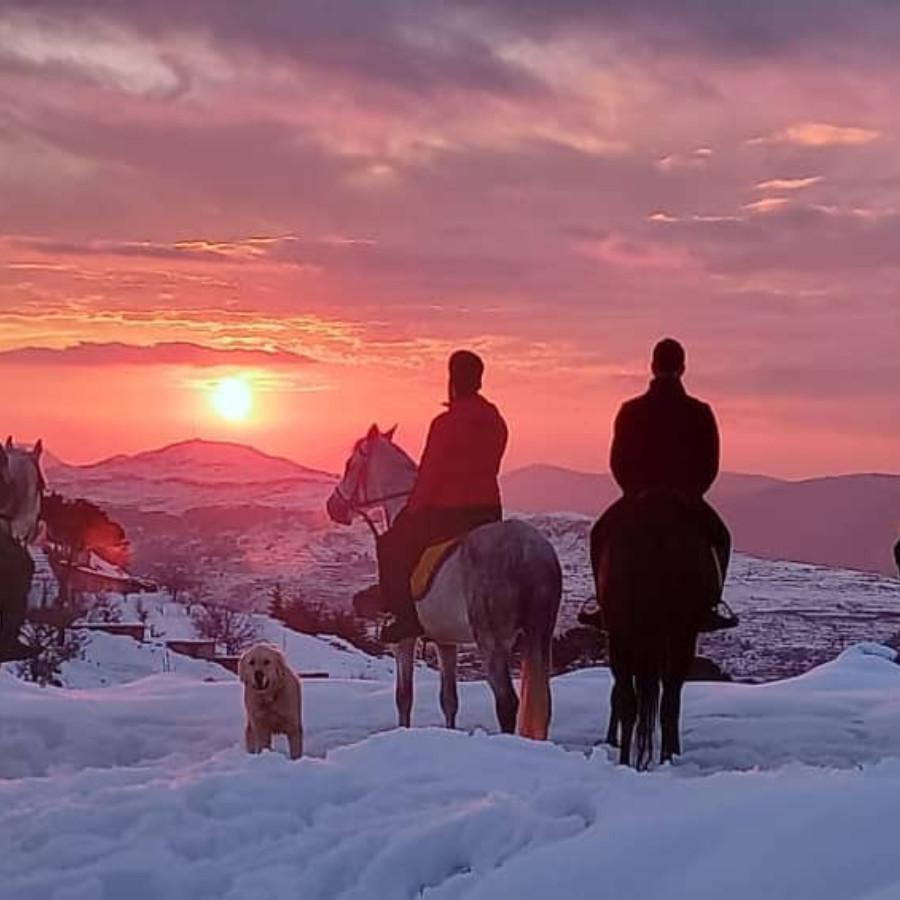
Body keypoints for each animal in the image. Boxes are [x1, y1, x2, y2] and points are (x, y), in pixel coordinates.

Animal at [324, 426, 564, 740]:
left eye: (349, 464)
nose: (333, 507)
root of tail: (530, 551)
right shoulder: (446, 641)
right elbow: (449, 699)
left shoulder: (404, 639)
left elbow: (404, 696)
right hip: (540, 636)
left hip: (492, 641)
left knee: (507, 703)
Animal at [596, 492, 720, 768]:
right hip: (675, 636)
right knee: (666, 701)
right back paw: (663, 757)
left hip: (624, 636)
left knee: (629, 699)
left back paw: (625, 758)